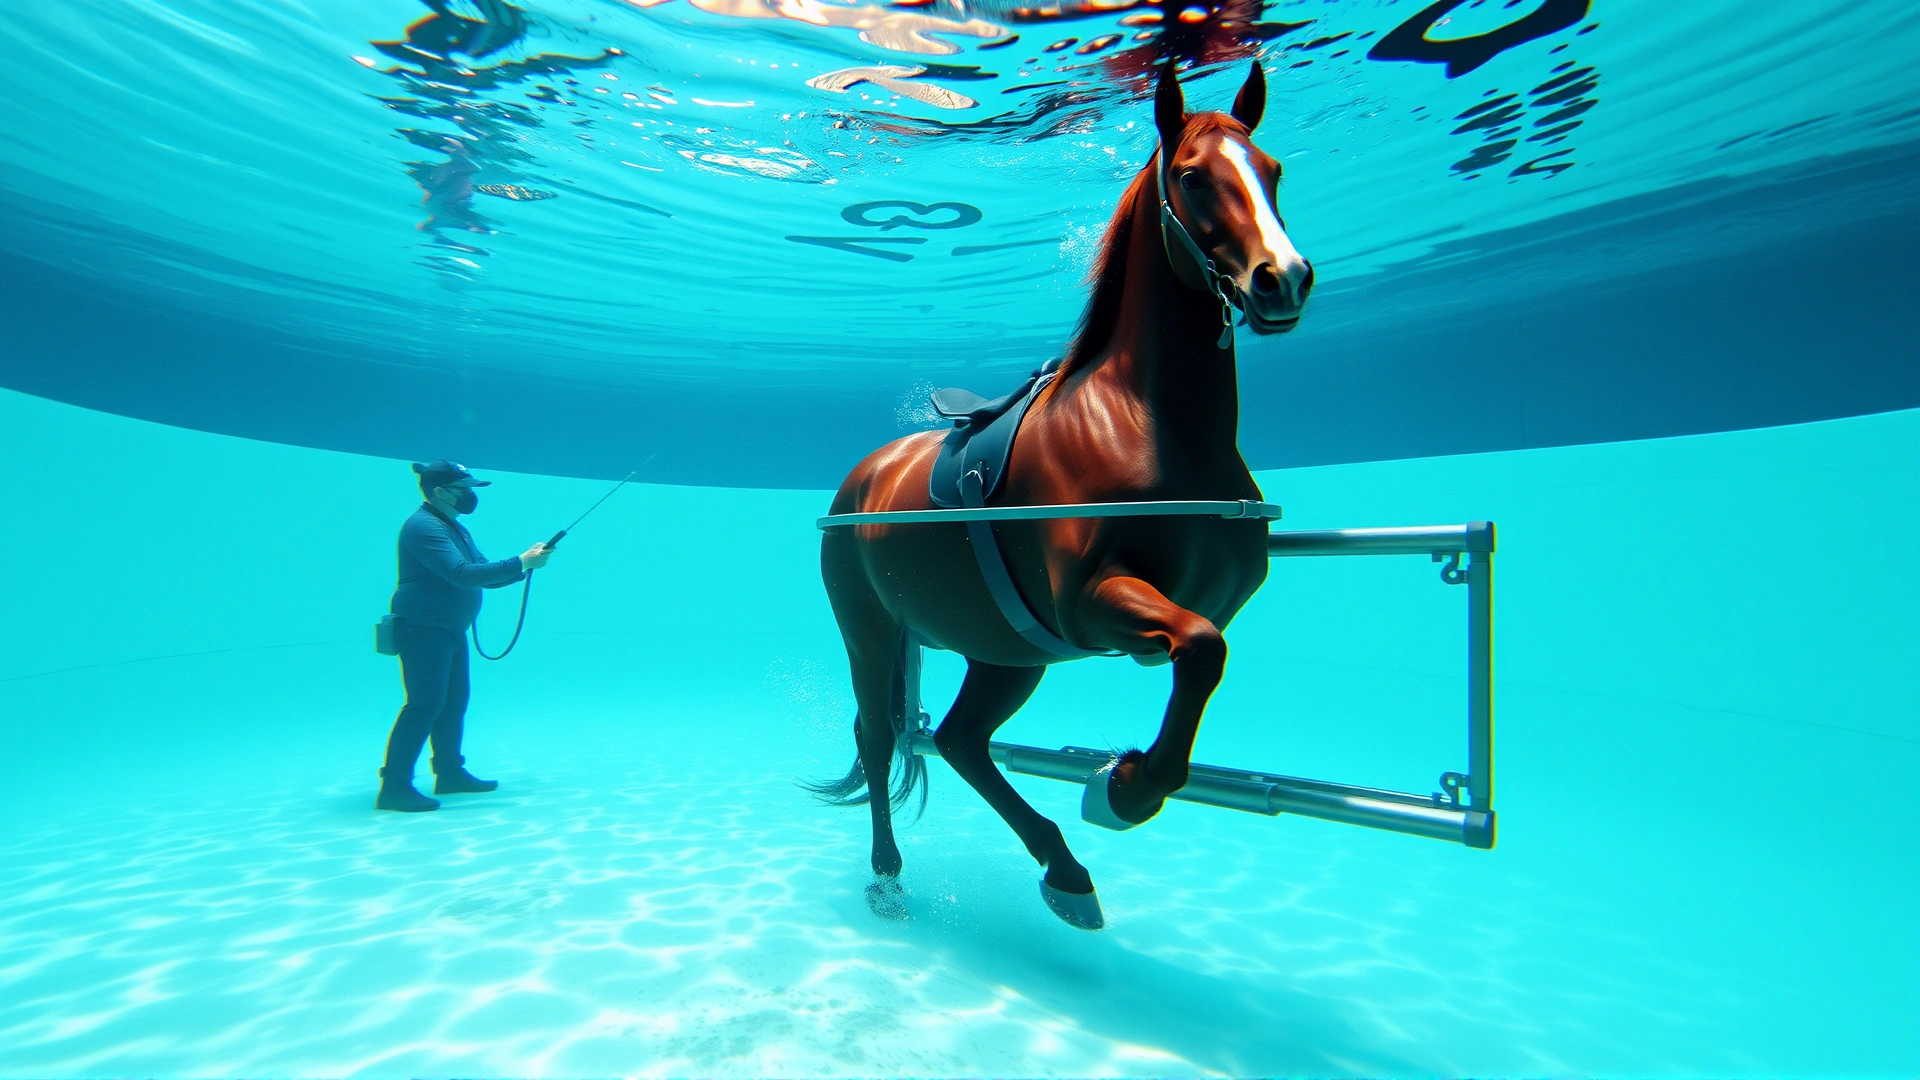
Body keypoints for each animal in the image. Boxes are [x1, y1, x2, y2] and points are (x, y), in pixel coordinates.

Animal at [812, 60, 1313, 931]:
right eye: (1192, 177)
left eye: (1273, 170)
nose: (1281, 279)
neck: (1147, 423)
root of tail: (863, 478)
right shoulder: (1089, 602)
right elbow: (1200, 649)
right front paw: (1124, 789)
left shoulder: (1192, 604)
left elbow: (1203, 650)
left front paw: (1119, 787)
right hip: (871, 633)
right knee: (879, 738)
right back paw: (887, 875)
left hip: (1008, 652)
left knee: (961, 741)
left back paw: (1065, 871)